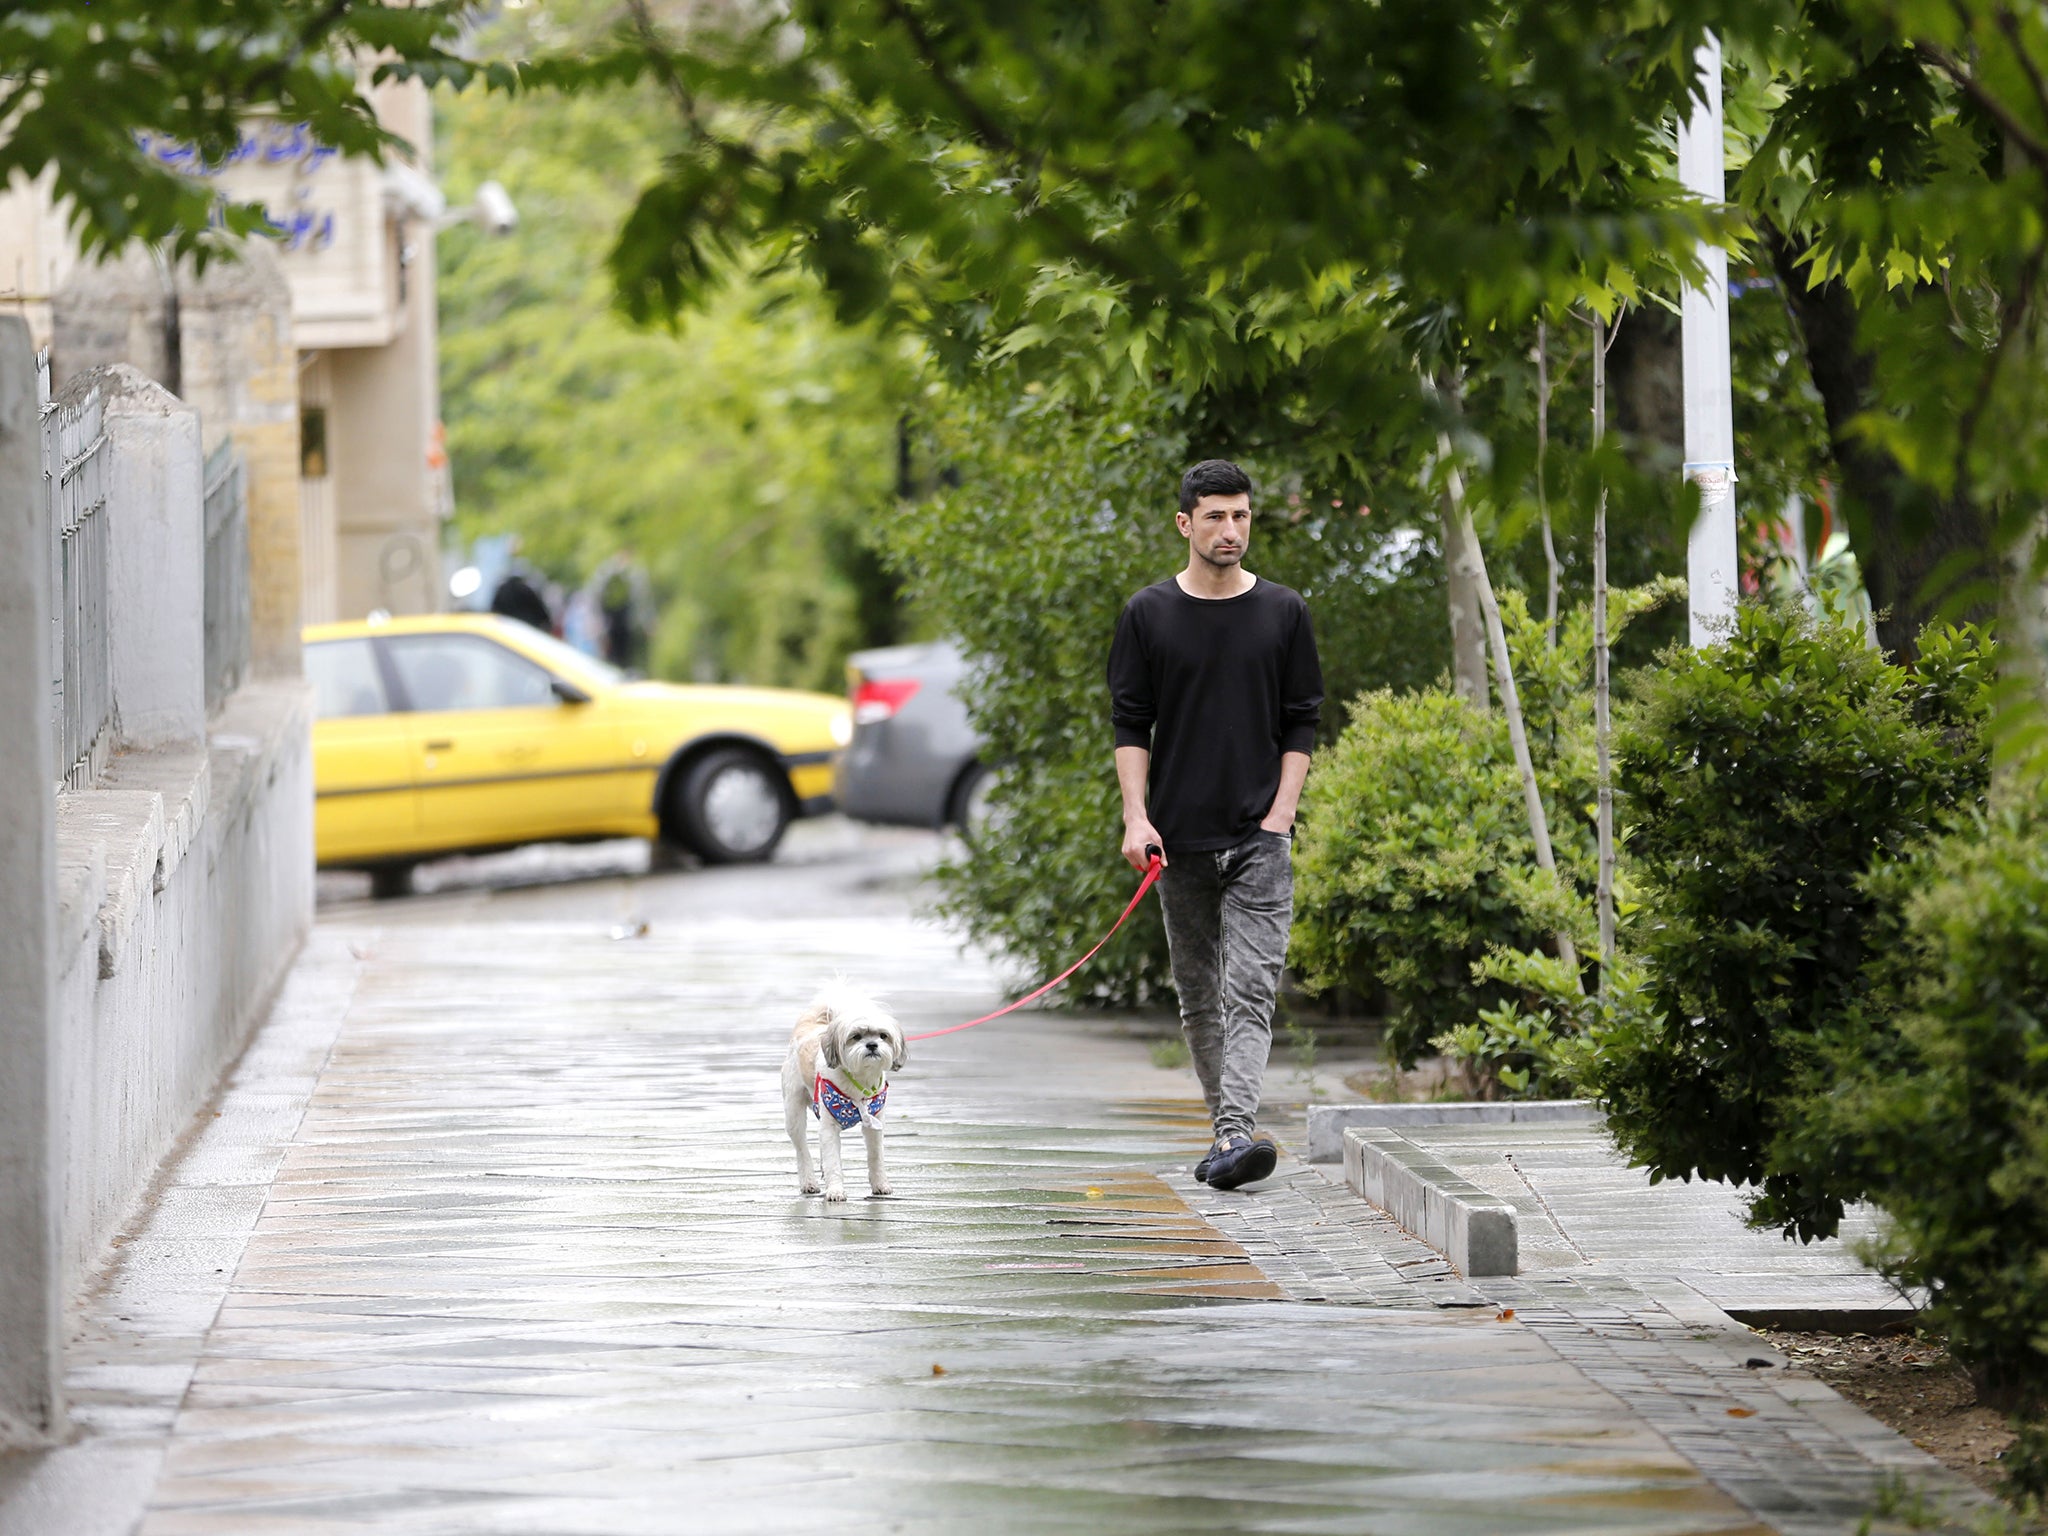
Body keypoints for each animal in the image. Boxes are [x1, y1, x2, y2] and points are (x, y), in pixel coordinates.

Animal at [778, 987, 909, 1204]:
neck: (860, 1079)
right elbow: (833, 1161)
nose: (872, 1045)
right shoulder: (829, 1126)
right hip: (793, 1111)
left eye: (883, 1035)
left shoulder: (875, 1122)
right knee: (802, 1149)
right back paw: (808, 1182)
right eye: (856, 1036)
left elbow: (876, 1156)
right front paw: (835, 1190)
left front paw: (880, 1185)